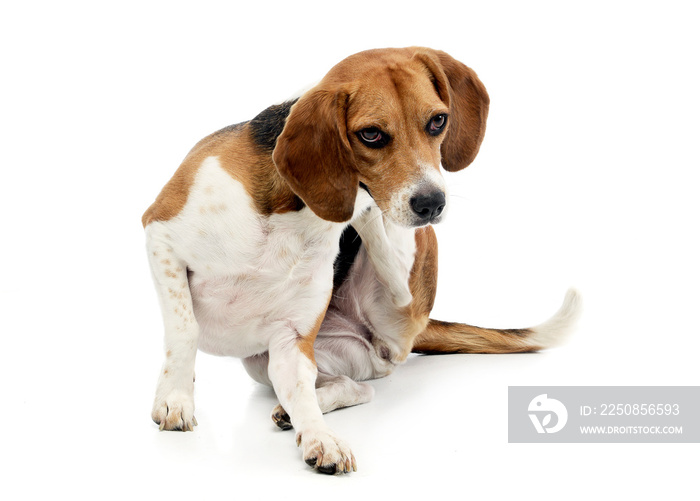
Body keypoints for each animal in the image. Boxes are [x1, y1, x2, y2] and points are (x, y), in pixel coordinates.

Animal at [141, 48, 580, 474]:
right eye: (371, 134)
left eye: (438, 121)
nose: (431, 203)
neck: (293, 210)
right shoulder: (160, 235)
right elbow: (186, 329)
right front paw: (177, 399)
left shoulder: (292, 341)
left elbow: (302, 391)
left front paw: (321, 437)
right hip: (266, 361)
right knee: (357, 384)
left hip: (394, 295)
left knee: (369, 364)